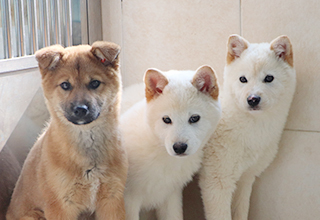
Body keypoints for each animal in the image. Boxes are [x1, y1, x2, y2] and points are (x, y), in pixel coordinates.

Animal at [5, 42, 127, 219]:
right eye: (65, 85)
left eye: (94, 83)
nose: (81, 109)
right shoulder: (61, 206)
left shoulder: (112, 200)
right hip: (34, 215)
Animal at [199, 34, 296, 220]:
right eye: (243, 79)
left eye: (269, 78)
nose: (252, 99)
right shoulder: (216, 184)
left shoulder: (245, 179)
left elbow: (241, 211)